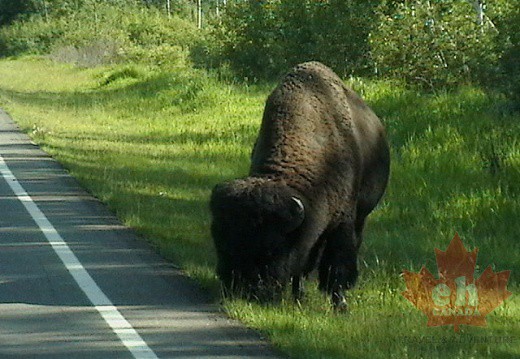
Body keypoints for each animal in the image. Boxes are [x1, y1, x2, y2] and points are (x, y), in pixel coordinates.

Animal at [209, 62, 388, 310]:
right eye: (218, 239)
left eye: (272, 247)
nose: (241, 290)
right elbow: (302, 265)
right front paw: (299, 298)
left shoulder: (342, 221)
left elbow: (336, 266)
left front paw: (340, 305)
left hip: (360, 216)